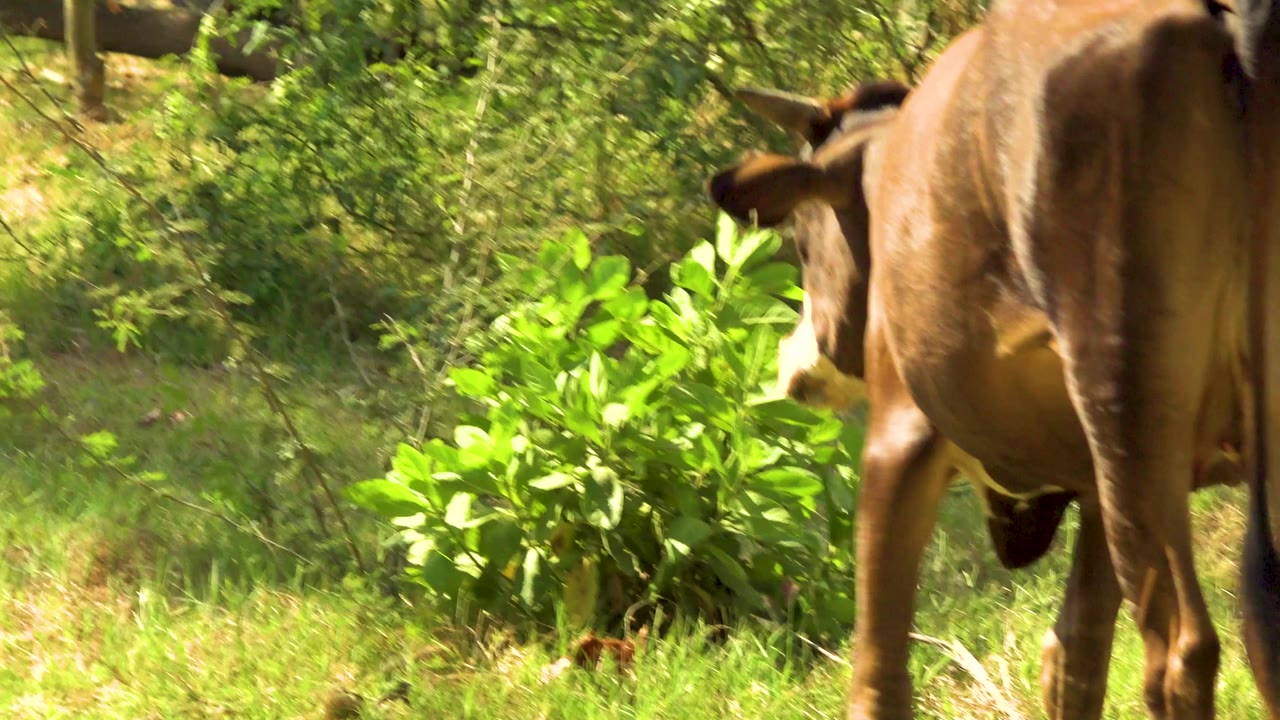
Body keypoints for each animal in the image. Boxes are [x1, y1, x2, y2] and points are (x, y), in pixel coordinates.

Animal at [707, 0, 1280, 717]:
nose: (794, 362)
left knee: (1181, 650)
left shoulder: (900, 436)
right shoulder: (1093, 486)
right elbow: (1074, 656)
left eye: (804, 241)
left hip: (1128, 407)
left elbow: (878, 675)